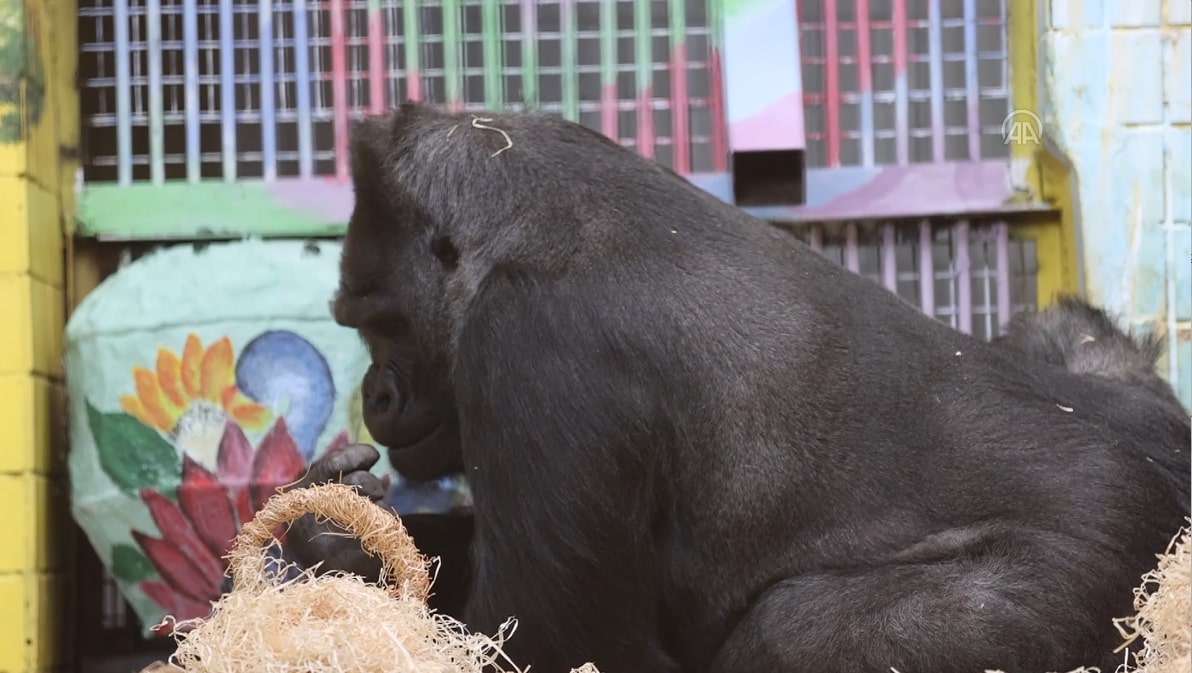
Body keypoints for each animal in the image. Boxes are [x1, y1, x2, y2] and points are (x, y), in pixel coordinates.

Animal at [286, 101, 1192, 671]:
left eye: (387, 324)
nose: (376, 395)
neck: (526, 218)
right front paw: (332, 539)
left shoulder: (530, 340)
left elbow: (546, 640)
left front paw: (325, 555)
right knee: (1066, 334)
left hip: (1112, 569)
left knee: (786, 634)